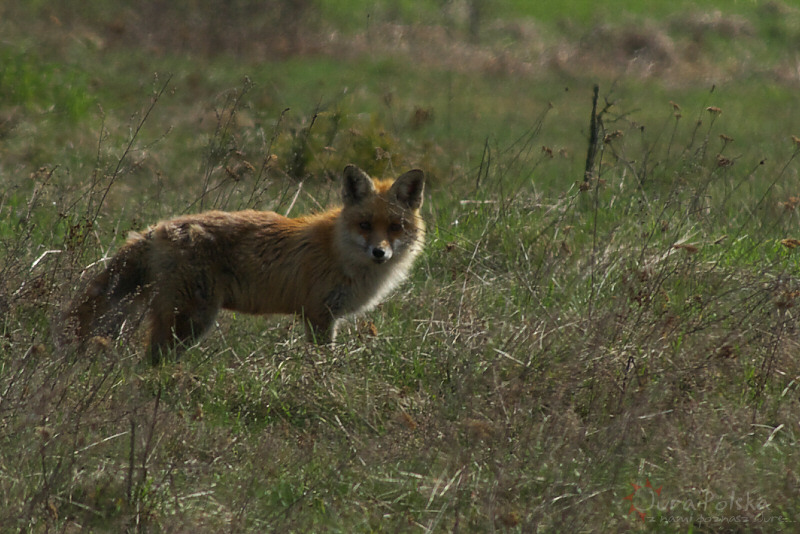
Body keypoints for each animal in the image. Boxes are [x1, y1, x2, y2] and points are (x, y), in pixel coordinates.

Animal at [64, 164, 424, 364]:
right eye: (365, 225)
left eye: (395, 227)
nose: (379, 253)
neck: (338, 251)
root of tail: (158, 229)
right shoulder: (319, 315)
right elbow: (323, 363)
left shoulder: (323, 316)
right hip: (192, 320)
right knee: (150, 361)